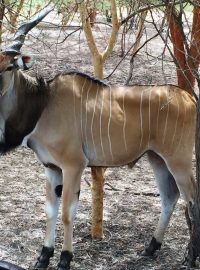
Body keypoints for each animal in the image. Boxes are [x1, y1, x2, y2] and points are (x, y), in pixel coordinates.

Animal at [0, 6, 197, 270]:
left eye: (10, 67)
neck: (44, 103)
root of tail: (189, 98)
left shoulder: (73, 165)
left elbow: (67, 212)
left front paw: (64, 259)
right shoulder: (51, 167)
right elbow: (50, 211)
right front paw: (43, 257)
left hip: (179, 160)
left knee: (192, 200)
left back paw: (190, 256)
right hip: (157, 158)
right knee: (170, 197)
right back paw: (150, 248)